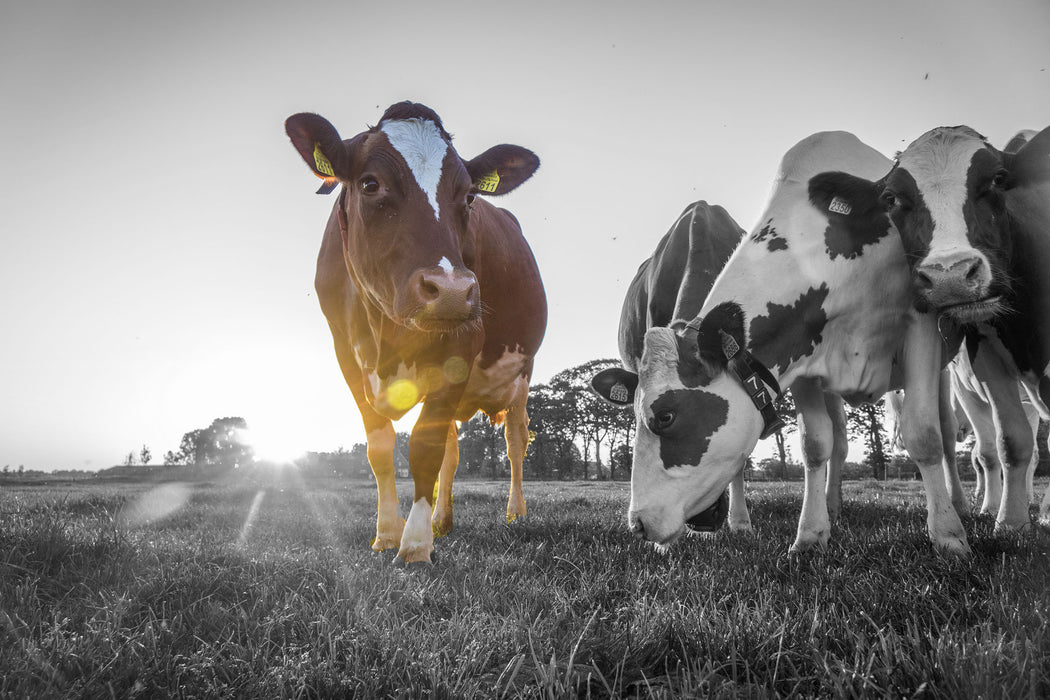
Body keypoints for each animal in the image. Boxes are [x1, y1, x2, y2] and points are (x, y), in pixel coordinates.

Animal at [287, 102, 550, 562]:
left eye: (469, 196)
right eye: (370, 183)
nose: (451, 290)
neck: (385, 333)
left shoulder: (462, 345)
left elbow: (425, 450)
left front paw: (413, 545)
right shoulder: (346, 355)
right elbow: (381, 448)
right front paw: (387, 534)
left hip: (522, 371)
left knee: (515, 440)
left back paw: (515, 513)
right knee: (454, 449)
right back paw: (442, 520)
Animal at [592, 131, 965, 554]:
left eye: (666, 416)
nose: (638, 524)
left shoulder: (921, 324)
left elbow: (925, 434)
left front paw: (949, 536)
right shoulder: (802, 356)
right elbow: (815, 444)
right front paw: (810, 535)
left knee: (947, 431)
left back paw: (963, 504)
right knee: (839, 439)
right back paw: (832, 506)